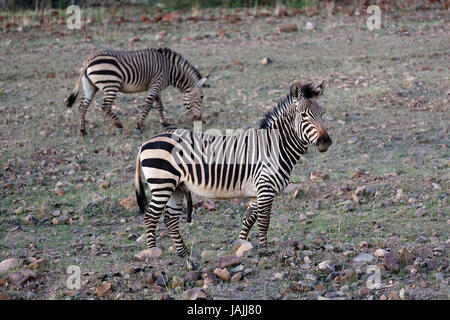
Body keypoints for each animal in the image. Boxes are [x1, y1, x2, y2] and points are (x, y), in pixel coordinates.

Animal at [65, 47, 209, 135]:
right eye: (201, 97)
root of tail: (89, 60)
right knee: (105, 106)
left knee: (82, 106)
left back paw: (82, 131)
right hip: (111, 85)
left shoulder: (156, 86)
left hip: (90, 86)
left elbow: (159, 105)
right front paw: (139, 125)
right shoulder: (156, 83)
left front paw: (164, 123)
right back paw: (119, 124)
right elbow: (148, 105)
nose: (199, 119)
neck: (169, 70)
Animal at [134, 80, 330, 258]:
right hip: (162, 183)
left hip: (176, 187)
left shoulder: (257, 192)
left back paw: (183, 253)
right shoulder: (265, 188)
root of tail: (145, 143)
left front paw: (241, 244)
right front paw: (264, 251)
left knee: (170, 218)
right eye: (303, 115)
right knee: (151, 217)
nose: (325, 141)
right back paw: (153, 253)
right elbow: (264, 221)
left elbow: (249, 219)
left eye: (323, 113)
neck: (275, 146)